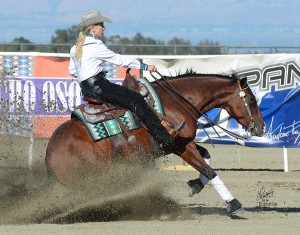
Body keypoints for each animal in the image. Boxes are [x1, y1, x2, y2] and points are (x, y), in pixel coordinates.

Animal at [44, 69, 264, 214]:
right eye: (252, 100)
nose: (260, 127)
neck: (177, 101)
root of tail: (49, 158)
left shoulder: (182, 144)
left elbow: (206, 158)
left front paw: (194, 185)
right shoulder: (179, 145)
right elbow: (209, 170)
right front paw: (233, 203)